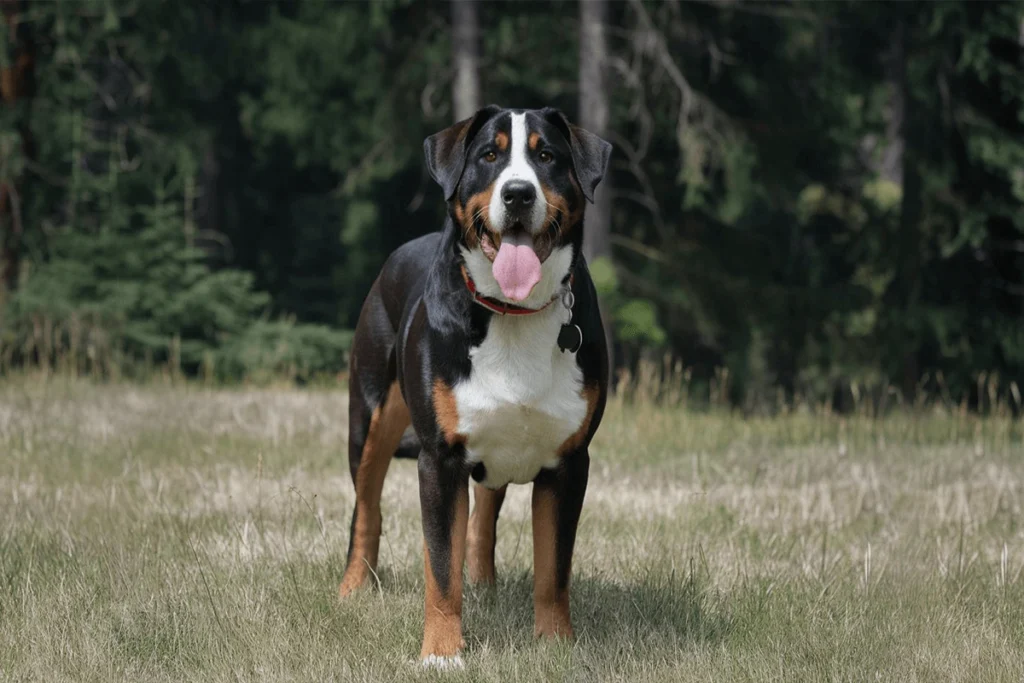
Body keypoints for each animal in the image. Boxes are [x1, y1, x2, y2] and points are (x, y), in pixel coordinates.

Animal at [339, 107, 610, 667]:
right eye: (489, 154)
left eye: (546, 155)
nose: (518, 194)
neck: (514, 313)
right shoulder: (440, 460)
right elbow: (441, 568)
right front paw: (442, 653)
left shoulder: (570, 462)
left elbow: (554, 568)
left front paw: (555, 645)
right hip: (369, 418)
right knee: (366, 510)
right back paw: (354, 588)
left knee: (483, 519)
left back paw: (484, 586)